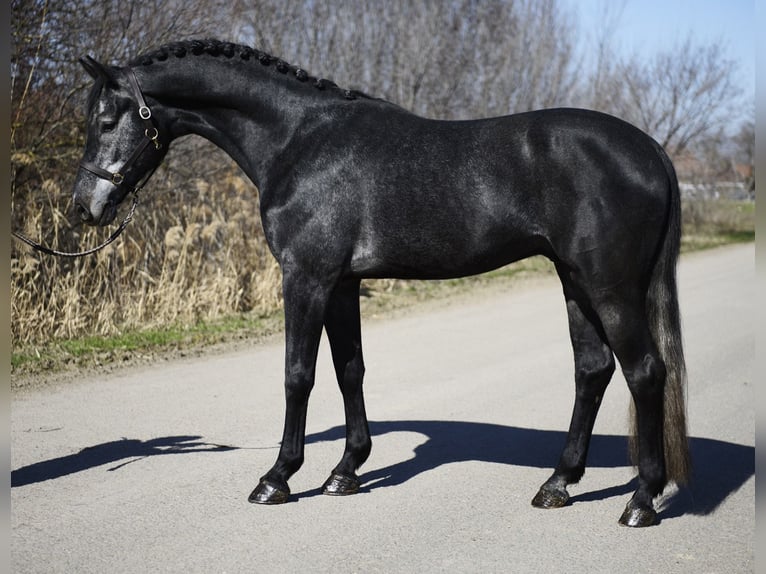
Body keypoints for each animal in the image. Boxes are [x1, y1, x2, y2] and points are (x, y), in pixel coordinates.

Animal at [72, 39, 690, 527]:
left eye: (105, 120)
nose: (84, 207)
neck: (299, 140)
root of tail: (650, 149)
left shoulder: (306, 277)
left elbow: (298, 375)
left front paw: (277, 478)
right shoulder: (342, 284)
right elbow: (350, 370)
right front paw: (345, 471)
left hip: (609, 287)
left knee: (644, 372)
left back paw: (641, 501)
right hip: (575, 281)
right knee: (593, 370)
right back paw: (557, 485)